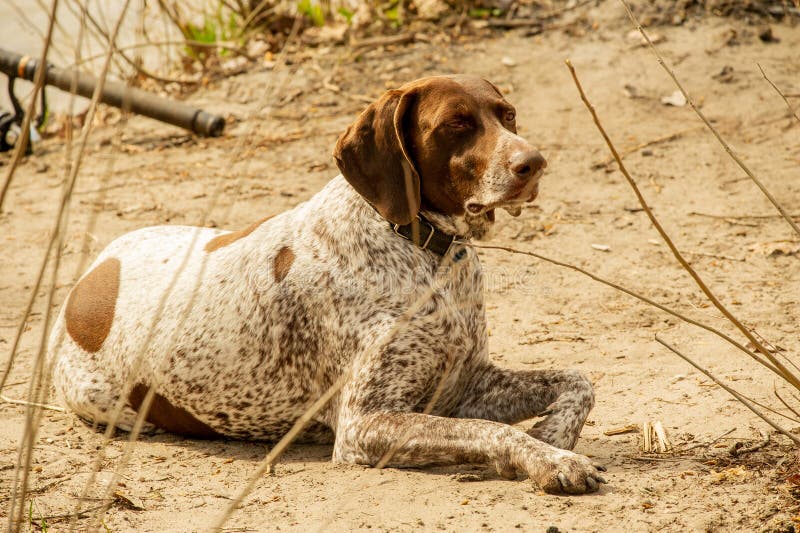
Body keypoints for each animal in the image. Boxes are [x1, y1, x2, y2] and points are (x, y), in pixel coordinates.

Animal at [50, 76, 608, 494]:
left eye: (507, 115)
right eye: (457, 123)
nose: (533, 163)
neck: (422, 250)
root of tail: (84, 284)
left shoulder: (465, 384)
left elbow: (578, 379)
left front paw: (553, 436)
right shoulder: (366, 425)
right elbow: (489, 430)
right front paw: (549, 459)